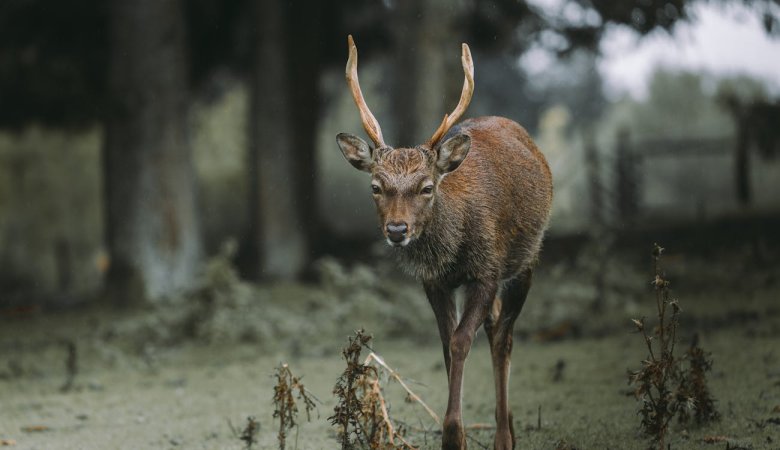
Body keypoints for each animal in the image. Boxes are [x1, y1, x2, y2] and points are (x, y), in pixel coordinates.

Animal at [336, 36, 556, 450]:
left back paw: (505, 435)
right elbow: (445, 345)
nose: (397, 230)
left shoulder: (487, 270)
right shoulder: (434, 282)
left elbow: (460, 342)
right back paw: (509, 423)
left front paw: (453, 435)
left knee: (504, 337)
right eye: (375, 187)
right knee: (494, 325)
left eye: (426, 187)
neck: (452, 252)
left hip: (527, 259)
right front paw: (459, 434)